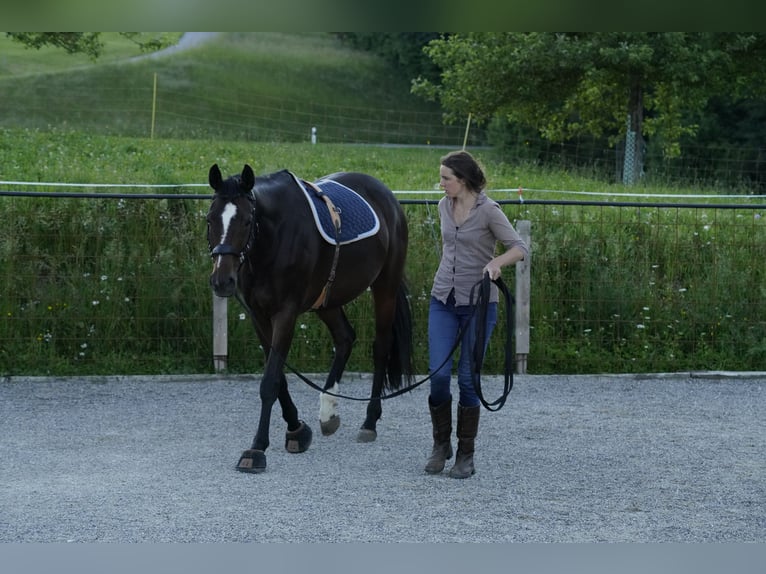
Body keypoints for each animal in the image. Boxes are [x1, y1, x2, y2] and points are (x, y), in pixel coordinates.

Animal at [207, 164, 414, 474]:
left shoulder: (286, 314)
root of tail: (386, 195)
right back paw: (328, 411)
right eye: (210, 219)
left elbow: (269, 381)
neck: (272, 240)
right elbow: (278, 377)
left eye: (245, 221)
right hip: (327, 300)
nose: (222, 281)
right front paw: (297, 430)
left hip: (384, 286)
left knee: (380, 347)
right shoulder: (259, 316)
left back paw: (369, 421)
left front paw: (257, 449)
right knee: (345, 338)